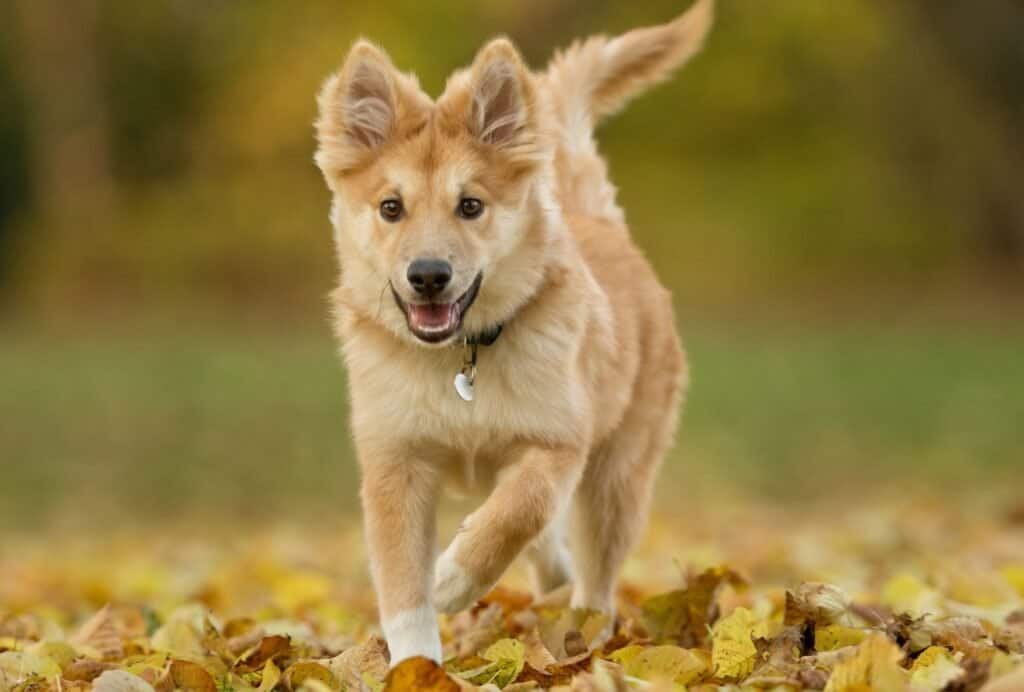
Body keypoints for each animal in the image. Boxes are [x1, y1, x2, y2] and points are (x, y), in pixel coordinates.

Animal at [313, 0, 712, 663]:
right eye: (391, 208)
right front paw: (416, 666)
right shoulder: (395, 461)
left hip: (618, 474)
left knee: (595, 571)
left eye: (470, 206)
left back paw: (584, 630)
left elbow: (521, 510)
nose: (428, 276)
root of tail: (600, 221)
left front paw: (453, 577)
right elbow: (402, 584)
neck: (459, 361)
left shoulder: (559, 440)